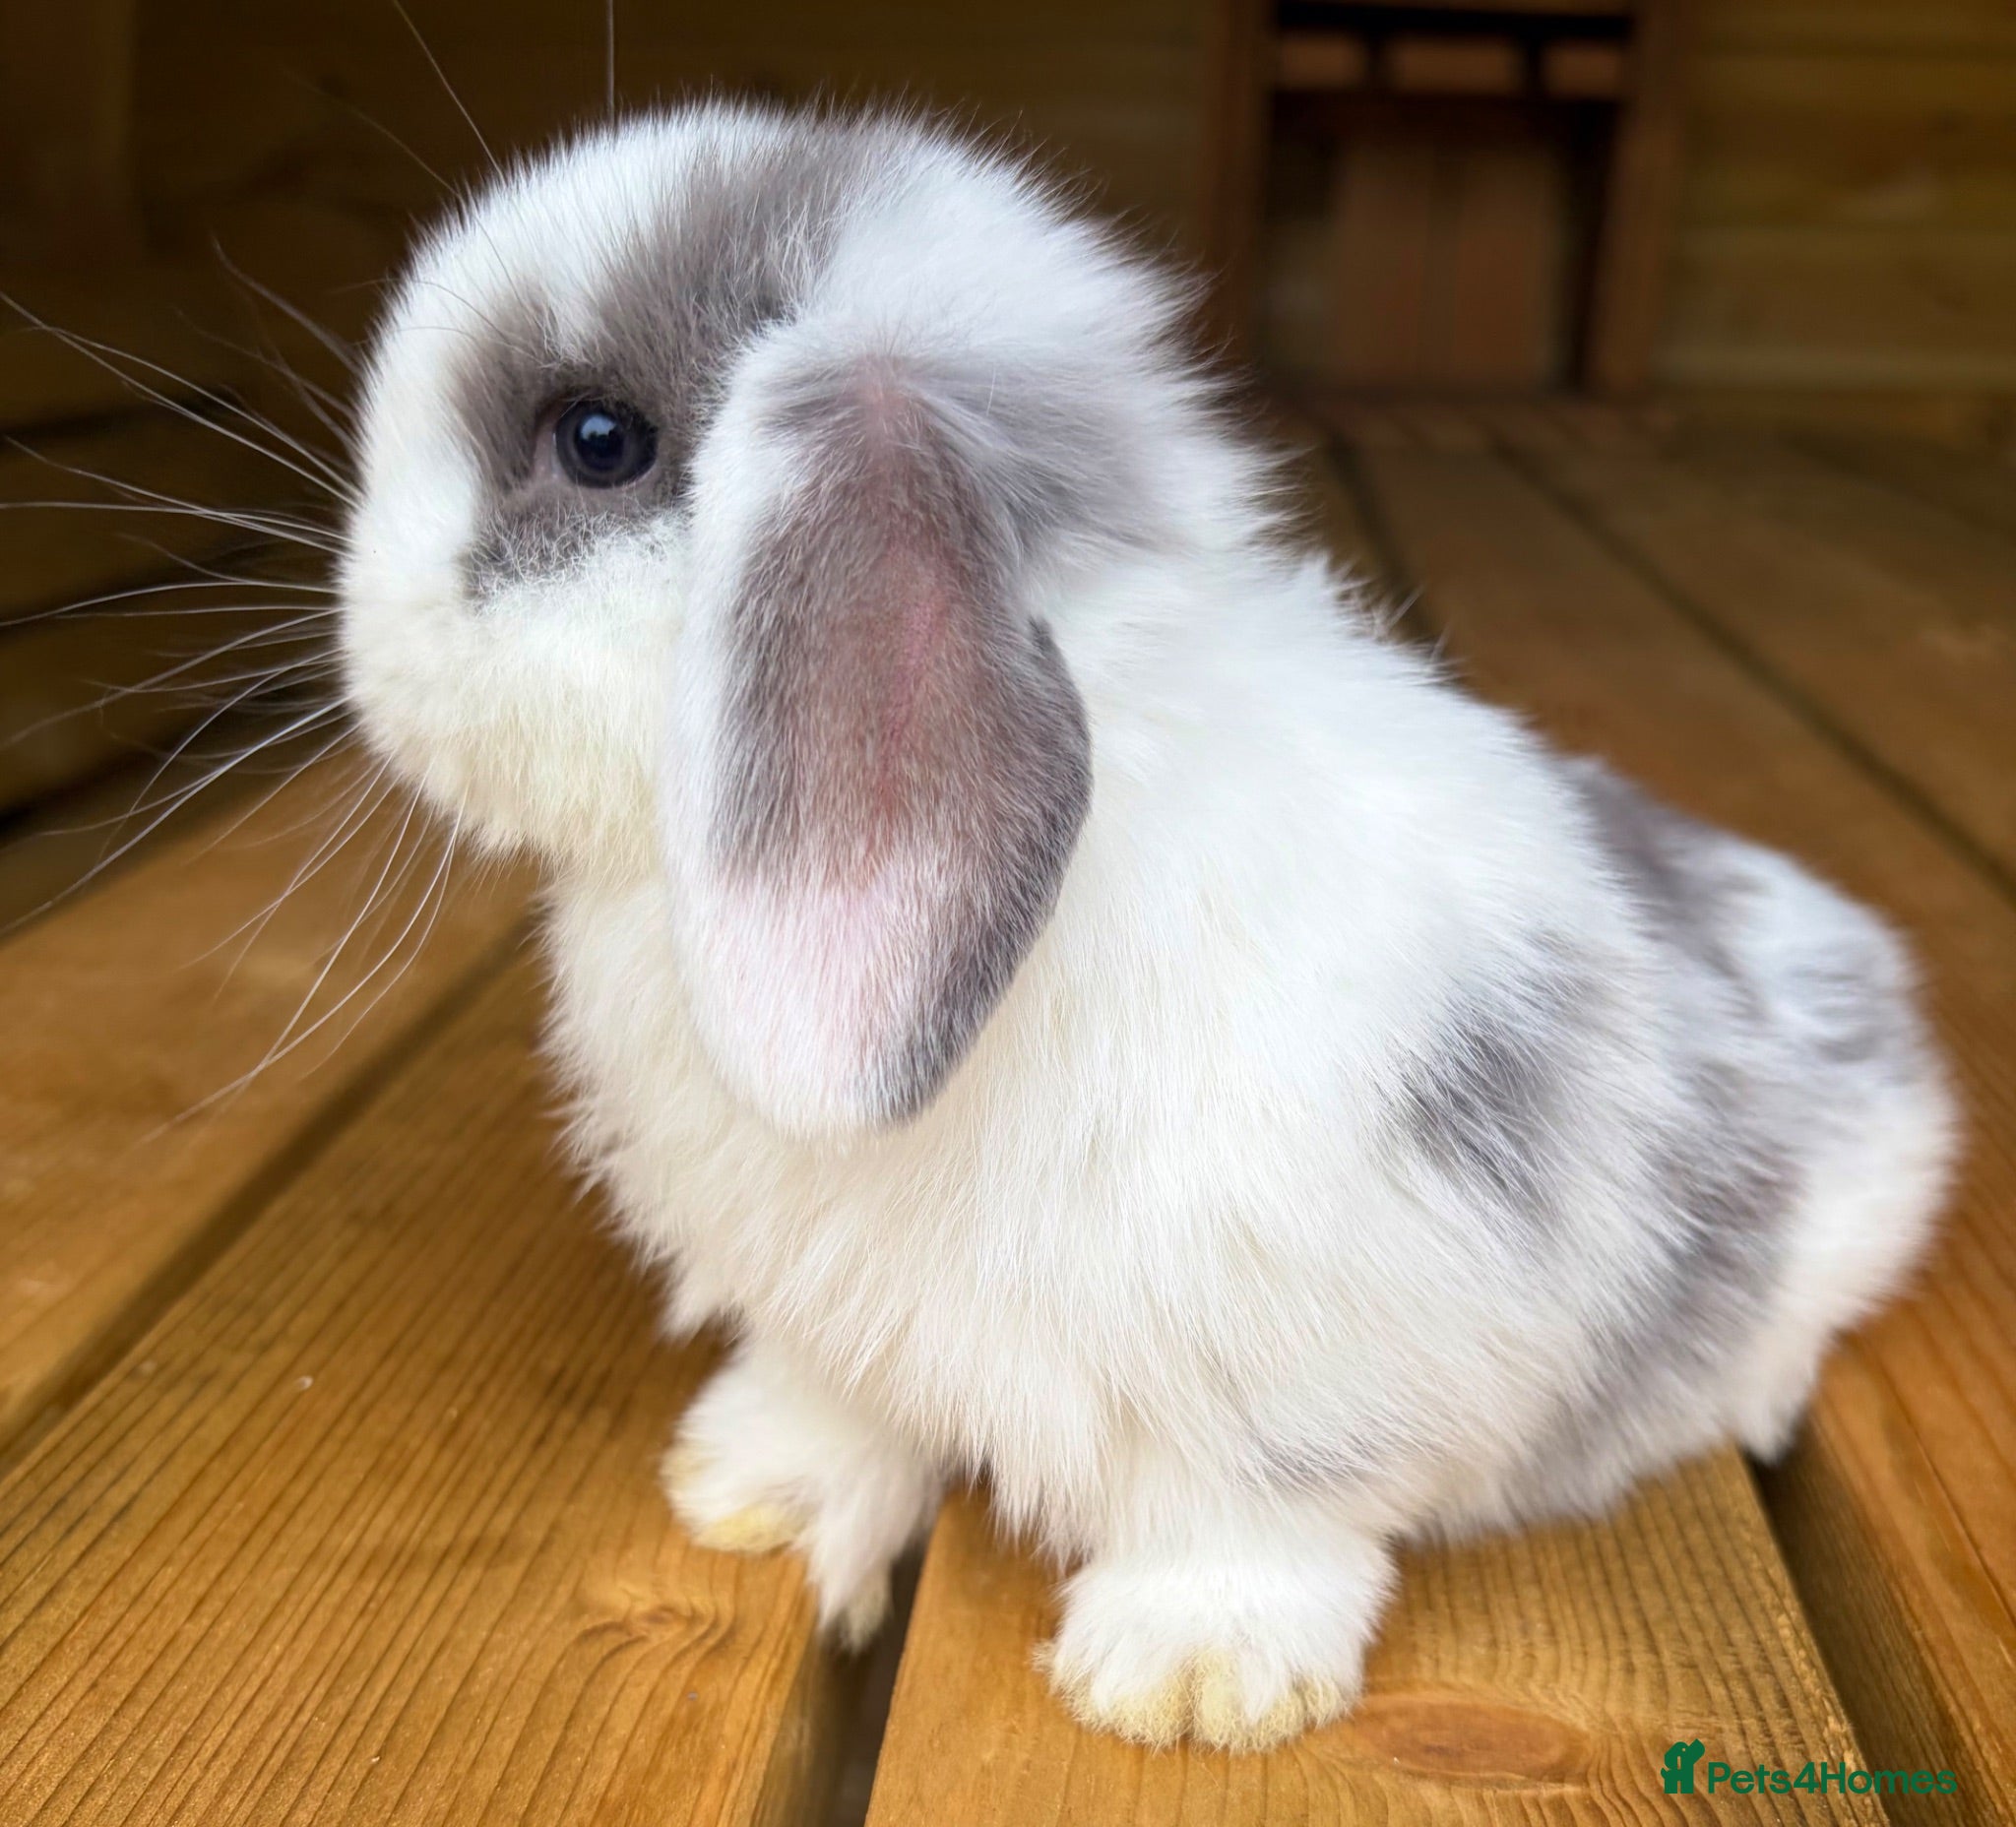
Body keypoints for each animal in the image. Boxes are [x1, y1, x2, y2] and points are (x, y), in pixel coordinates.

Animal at [337, 103, 1957, 1751]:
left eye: (597, 440)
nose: (362, 640)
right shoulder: (827, 1315)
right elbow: (836, 1403)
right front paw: (757, 1496)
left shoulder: (1308, 1344)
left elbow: (1250, 1513)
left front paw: (1188, 1683)